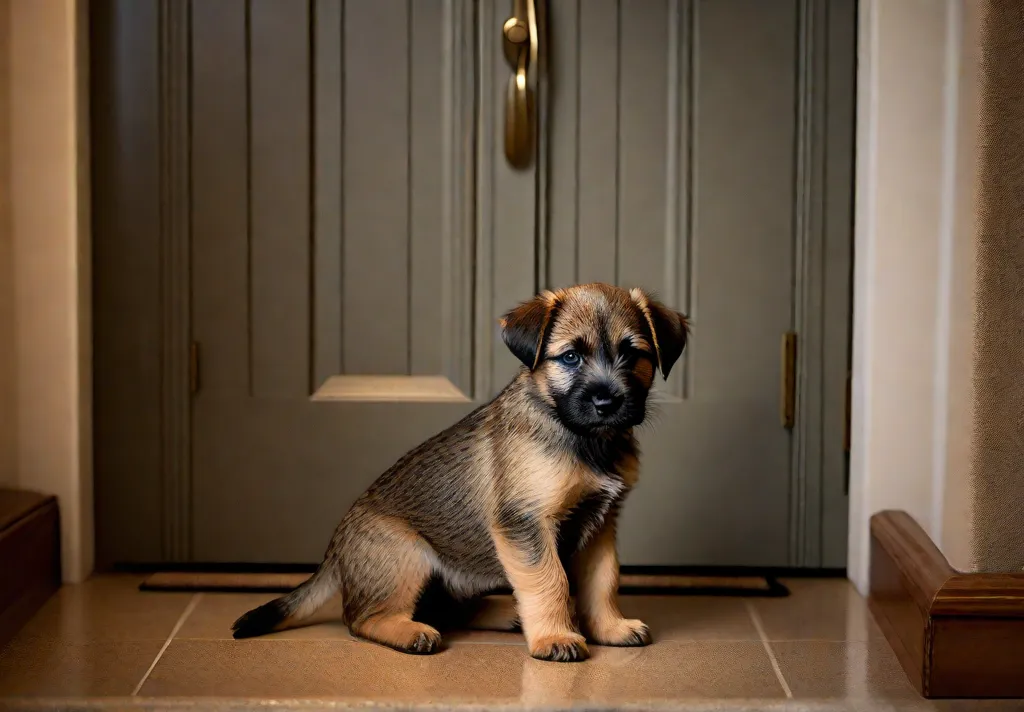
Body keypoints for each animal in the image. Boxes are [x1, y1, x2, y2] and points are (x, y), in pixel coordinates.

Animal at [232, 282, 688, 663]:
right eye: (571, 356)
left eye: (633, 354)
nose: (607, 402)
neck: (583, 439)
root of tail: (334, 549)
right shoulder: (527, 525)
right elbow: (551, 581)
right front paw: (556, 637)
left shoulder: (600, 527)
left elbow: (602, 582)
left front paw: (609, 627)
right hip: (407, 555)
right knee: (361, 619)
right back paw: (410, 631)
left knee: (445, 607)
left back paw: (505, 612)